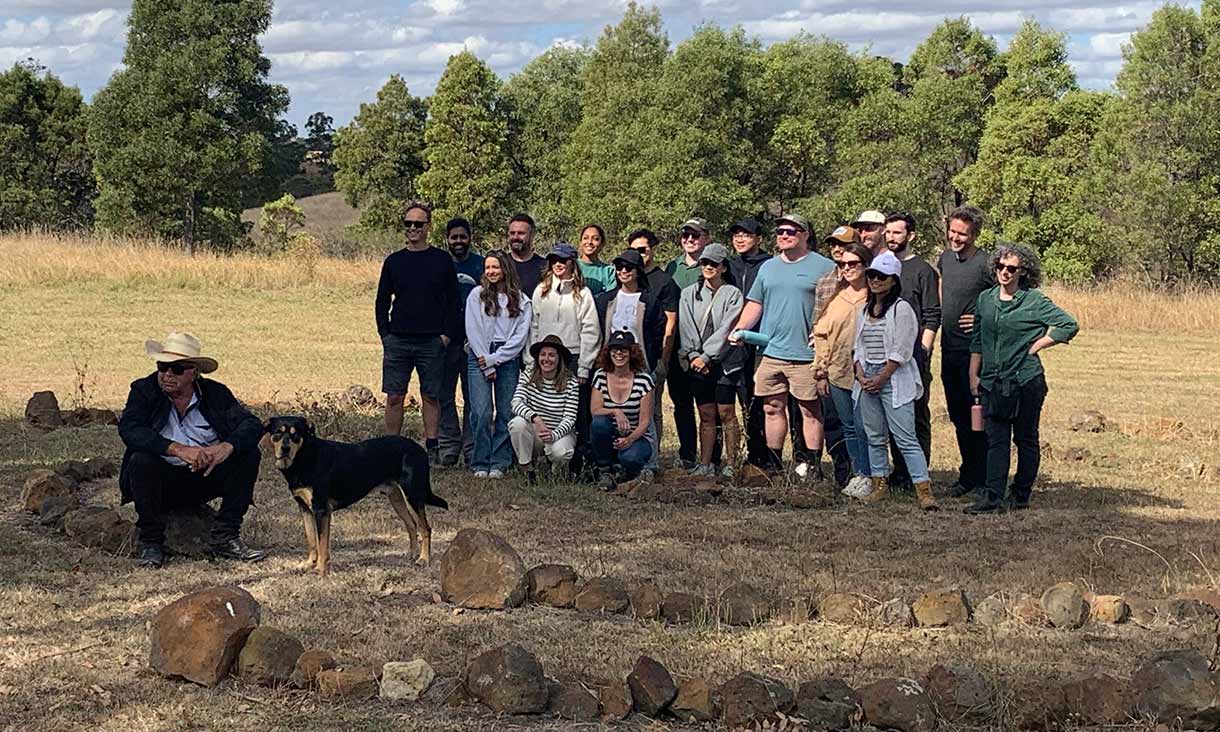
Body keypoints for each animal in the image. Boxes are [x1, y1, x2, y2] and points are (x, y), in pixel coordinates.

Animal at [262, 414, 448, 575]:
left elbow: (322, 543)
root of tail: (420, 449)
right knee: (411, 525)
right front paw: (309, 564)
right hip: (396, 497)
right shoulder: (305, 509)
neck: (305, 456)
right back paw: (412, 554)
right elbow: (312, 541)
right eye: (278, 433)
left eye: (296, 434)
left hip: (412, 495)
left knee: (425, 528)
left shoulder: (321, 510)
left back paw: (423, 559)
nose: (285, 449)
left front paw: (321, 569)